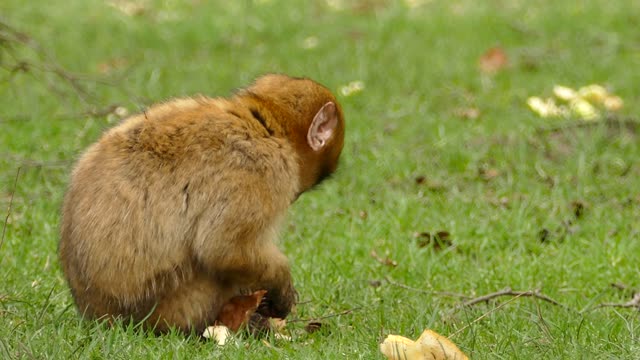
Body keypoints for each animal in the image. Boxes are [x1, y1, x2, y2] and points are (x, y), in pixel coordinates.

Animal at [60, 74, 344, 334]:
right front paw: (281, 289)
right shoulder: (260, 168)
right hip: (177, 305)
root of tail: (97, 315)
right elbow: (223, 249)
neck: (263, 124)